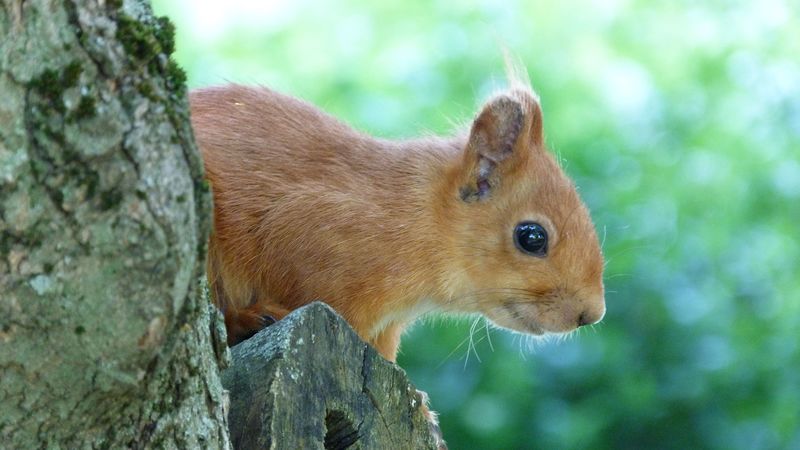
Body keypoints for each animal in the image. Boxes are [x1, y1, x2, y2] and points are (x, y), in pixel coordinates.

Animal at [190, 73, 605, 448]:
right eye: (532, 237)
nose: (591, 314)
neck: (416, 220)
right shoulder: (309, 235)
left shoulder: (385, 330)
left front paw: (421, 407)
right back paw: (247, 319)